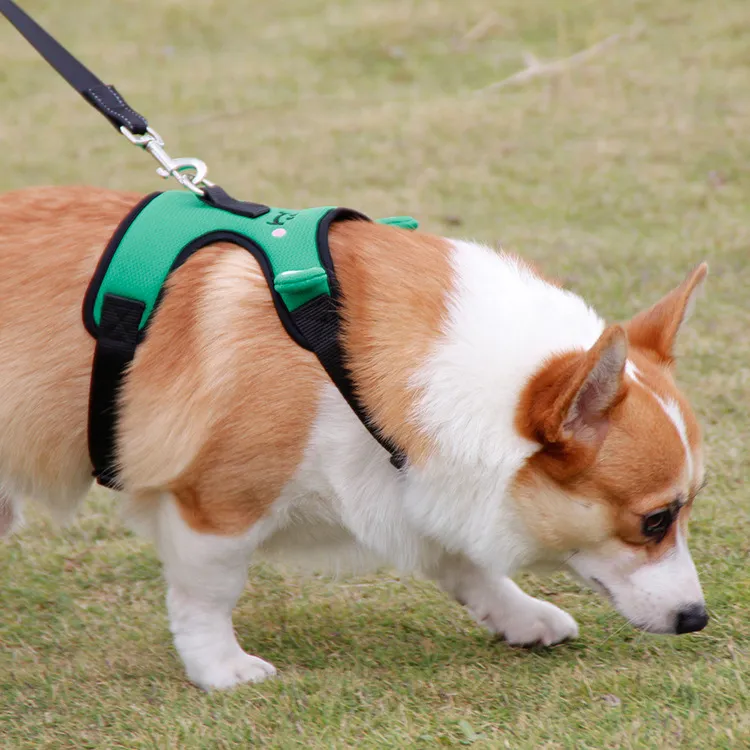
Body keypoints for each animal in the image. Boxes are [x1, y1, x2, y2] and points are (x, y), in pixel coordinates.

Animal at [0, 188, 712, 692]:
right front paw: (220, 669)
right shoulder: (219, 506)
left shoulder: (408, 482)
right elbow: (208, 594)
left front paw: (523, 618)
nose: (697, 619)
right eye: (655, 521)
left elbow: (468, 567)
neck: (337, 360)